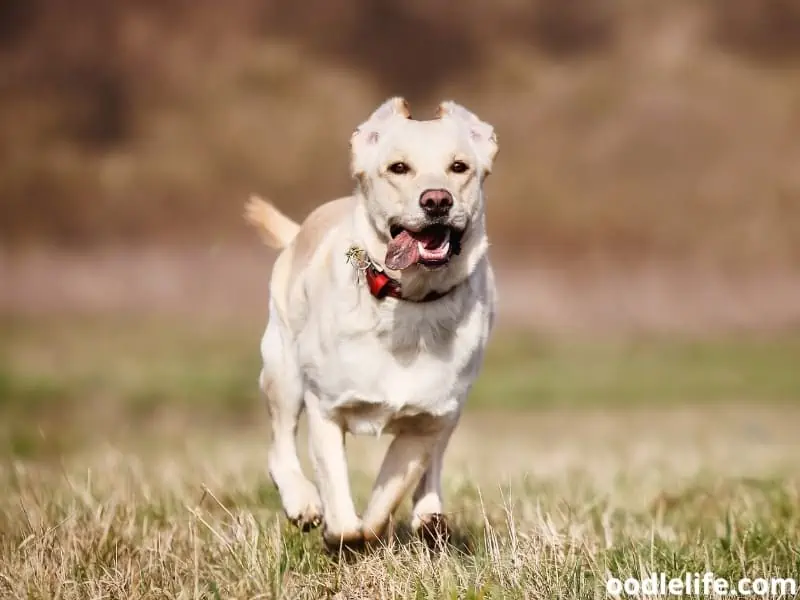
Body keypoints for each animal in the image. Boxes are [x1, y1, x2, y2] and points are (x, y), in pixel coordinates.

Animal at [244, 95, 496, 548]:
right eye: (398, 168)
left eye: (459, 167)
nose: (437, 201)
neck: (409, 300)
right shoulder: (325, 407)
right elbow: (339, 501)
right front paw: (340, 533)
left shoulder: (427, 421)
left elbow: (387, 496)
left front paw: (374, 531)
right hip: (283, 369)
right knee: (280, 445)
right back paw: (302, 503)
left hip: (455, 408)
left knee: (435, 463)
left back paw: (430, 515)